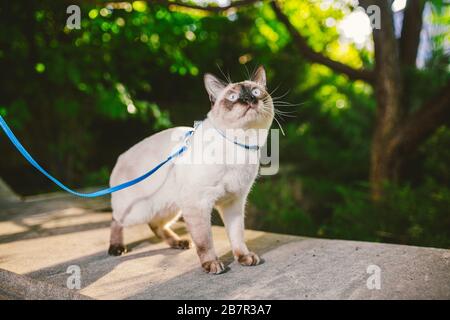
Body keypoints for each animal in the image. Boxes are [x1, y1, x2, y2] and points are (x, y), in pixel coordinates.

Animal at [109, 66, 274, 274]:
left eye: (255, 92)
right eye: (233, 97)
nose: (249, 99)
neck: (241, 146)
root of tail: (120, 157)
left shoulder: (233, 203)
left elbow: (237, 236)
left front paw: (244, 258)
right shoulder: (199, 203)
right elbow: (205, 242)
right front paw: (212, 264)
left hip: (171, 208)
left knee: (155, 225)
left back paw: (179, 242)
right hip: (139, 212)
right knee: (116, 220)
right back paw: (116, 248)